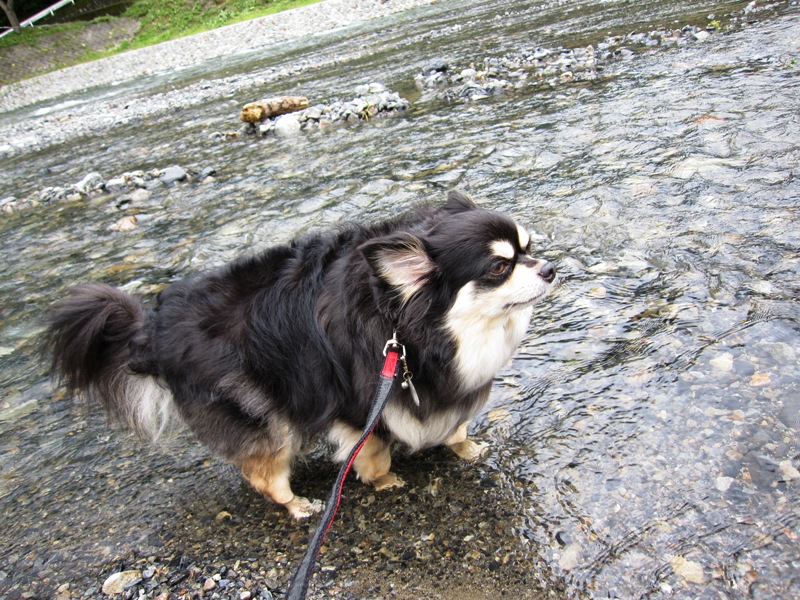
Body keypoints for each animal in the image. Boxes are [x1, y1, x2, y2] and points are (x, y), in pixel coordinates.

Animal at [45, 191, 556, 516]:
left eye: (529, 247)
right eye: (499, 266)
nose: (551, 268)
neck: (406, 325)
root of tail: (154, 328)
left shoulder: (448, 387)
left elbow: (457, 427)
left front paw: (467, 448)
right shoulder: (355, 407)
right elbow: (373, 453)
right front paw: (384, 482)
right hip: (262, 413)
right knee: (264, 475)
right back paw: (298, 505)